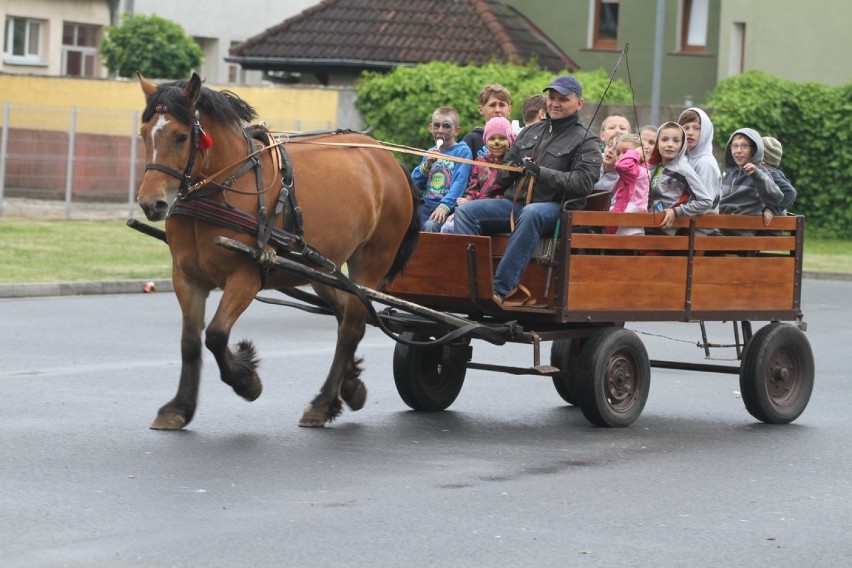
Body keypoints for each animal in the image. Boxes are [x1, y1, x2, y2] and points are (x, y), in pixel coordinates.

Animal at [134, 73, 422, 428]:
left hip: (370, 262)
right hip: (320, 269)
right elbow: (190, 341)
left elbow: (215, 334)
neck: (225, 186)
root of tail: (387, 159)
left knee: (352, 326)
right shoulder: (187, 279)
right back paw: (350, 384)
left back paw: (323, 402)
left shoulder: (245, 277)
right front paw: (179, 407)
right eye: (145, 133)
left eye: (181, 136)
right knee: (346, 317)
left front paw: (246, 379)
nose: (152, 203)